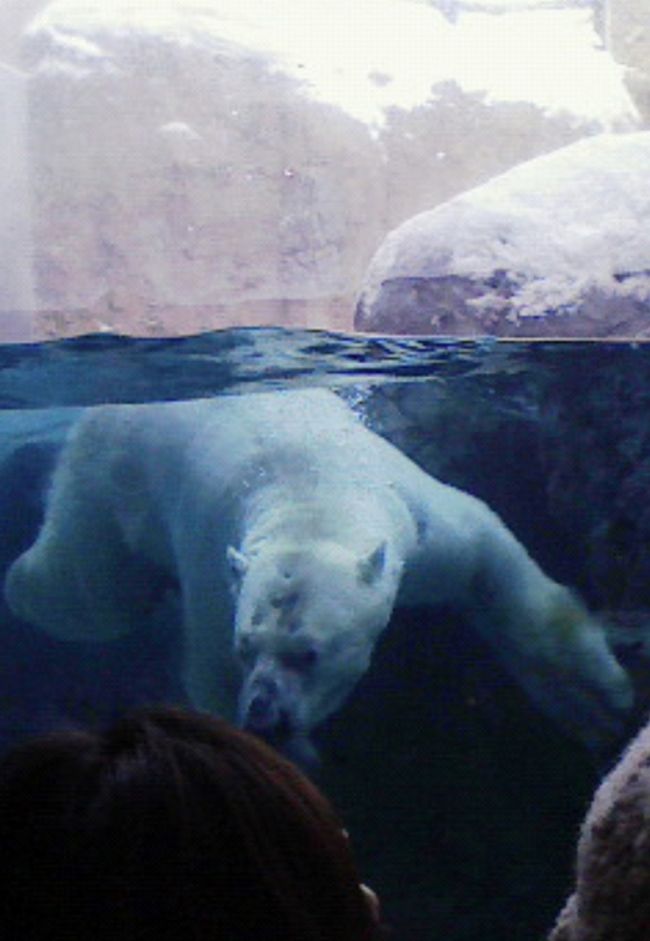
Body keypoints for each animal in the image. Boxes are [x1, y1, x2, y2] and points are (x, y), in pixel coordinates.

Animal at [3, 390, 632, 756]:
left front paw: (598, 701)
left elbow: (498, 570)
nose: (265, 713)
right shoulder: (212, 569)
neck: (309, 490)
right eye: (246, 646)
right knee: (88, 593)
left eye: (309, 652)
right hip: (111, 479)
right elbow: (208, 671)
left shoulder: (421, 527)